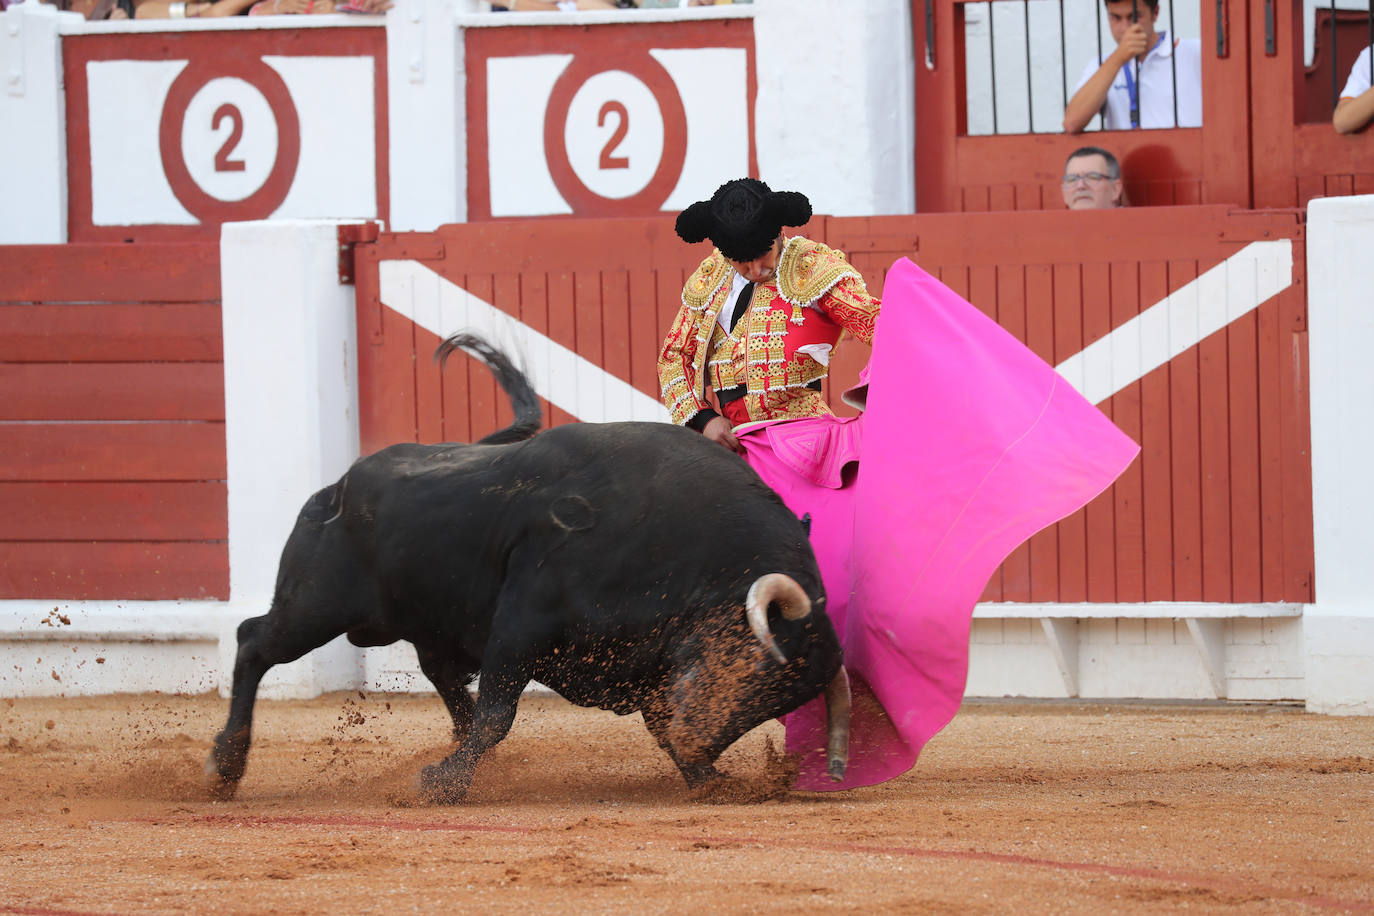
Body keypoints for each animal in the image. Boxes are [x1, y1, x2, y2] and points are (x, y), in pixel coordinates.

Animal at [206, 333, 846, 796]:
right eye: (757, 666)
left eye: (778, 701)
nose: (699, 744)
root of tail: (342, 483)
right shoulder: (524, 622)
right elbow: (498, 713)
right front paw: (440, 783)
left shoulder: (648, 665)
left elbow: (653, 719)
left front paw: (710, 779)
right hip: (315, 605)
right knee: (254, 642)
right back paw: (225, 768)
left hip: (422, 624)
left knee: (445, 684)